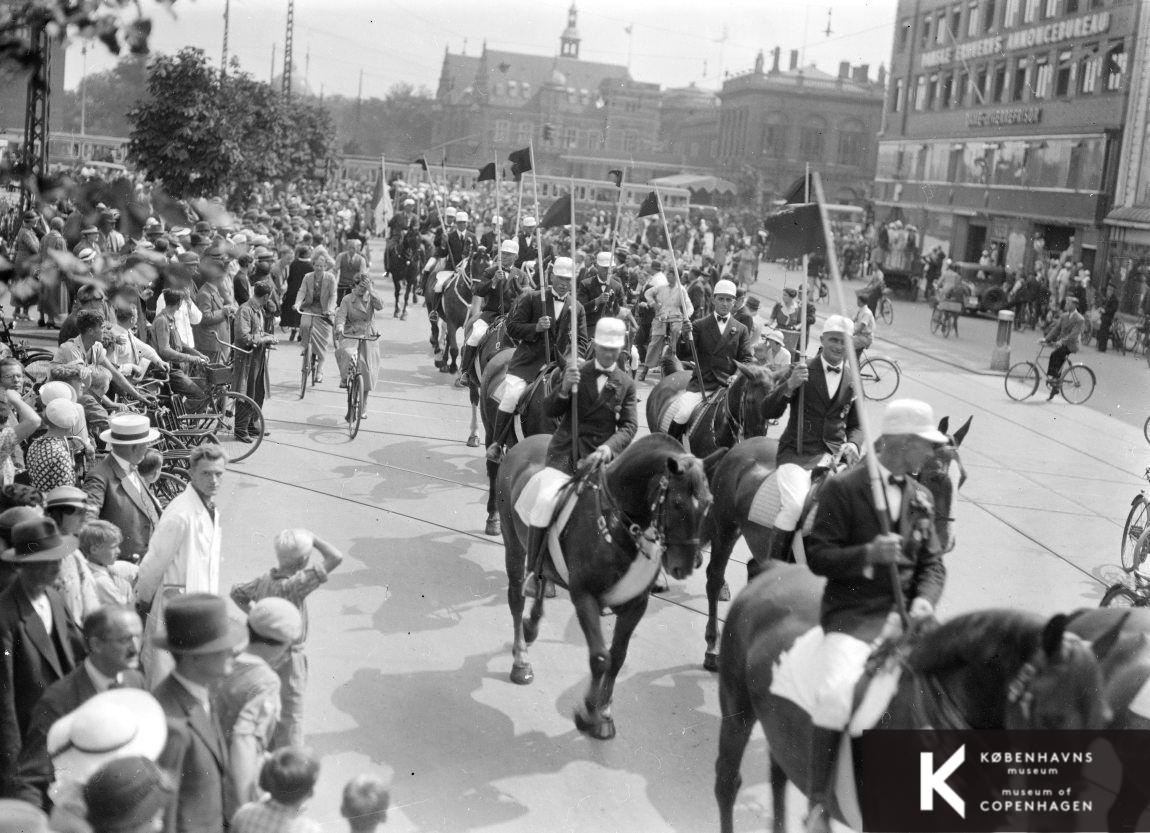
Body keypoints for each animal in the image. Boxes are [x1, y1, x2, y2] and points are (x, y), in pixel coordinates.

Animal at [499, 432, 713, 736]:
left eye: (708, 503)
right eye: (677, 503)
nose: (686, 564)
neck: (619, 528)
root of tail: (525, 443)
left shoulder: (636, 605)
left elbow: (618, 656)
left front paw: (605, 711)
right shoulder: (584, 597)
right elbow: (601, 657)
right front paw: (589, 712)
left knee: (540, 580)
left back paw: (532, 625)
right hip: (513, 545)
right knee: (516, 599)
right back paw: (521, 659)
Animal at [699, 416, 970, 671]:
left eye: (963, 480)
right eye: (936, 476)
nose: (947, 541)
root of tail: (741, 446)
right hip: (725, 529)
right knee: (715, 579)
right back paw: (713, 648)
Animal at [717, 572, 1113, 833]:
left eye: (1103, 723)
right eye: (1048, 718)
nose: (1059, 822)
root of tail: (770, 573)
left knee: (780, 776)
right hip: (737, 713)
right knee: (727, 782)